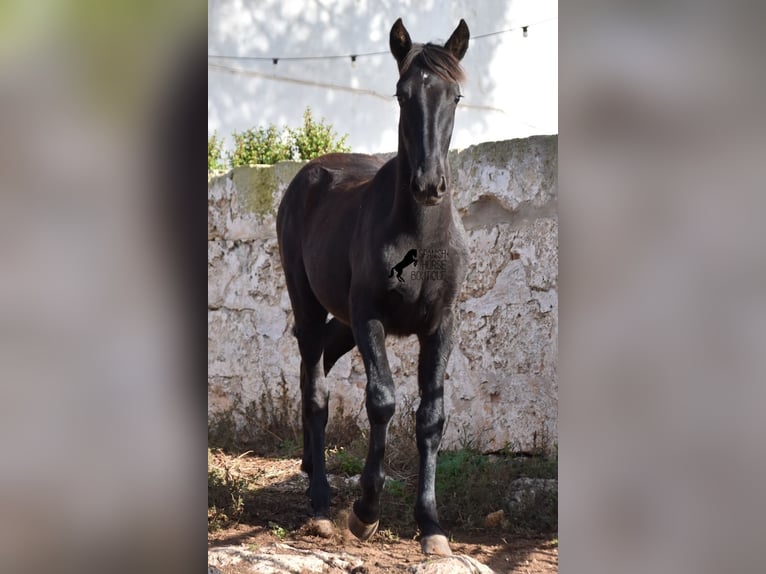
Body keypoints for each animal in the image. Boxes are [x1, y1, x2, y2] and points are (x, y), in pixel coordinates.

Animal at [276, 18, 468, 560]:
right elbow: (381, 400)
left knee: (319, 368)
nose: (429, 185)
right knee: (315, 389)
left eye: (456, 95)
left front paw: (431, 526)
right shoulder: (370, 318)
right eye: (402, 94)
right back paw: (321, 503)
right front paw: (364, 512)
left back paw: (308, 468)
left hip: (340, 323)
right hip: (310, 307)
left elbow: (431, 416)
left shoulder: (441, 327)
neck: (418, 239)